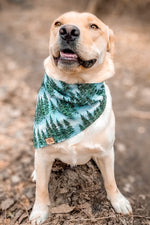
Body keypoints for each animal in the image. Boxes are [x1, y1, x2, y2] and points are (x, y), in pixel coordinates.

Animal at [29, 11, 132, 223]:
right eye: (58, 23)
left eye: (94, 26)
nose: (67, 31)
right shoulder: (44, 155)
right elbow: (41, 188)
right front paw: (40, 211)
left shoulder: (106, 152)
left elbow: (111, 180)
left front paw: (118, 200)